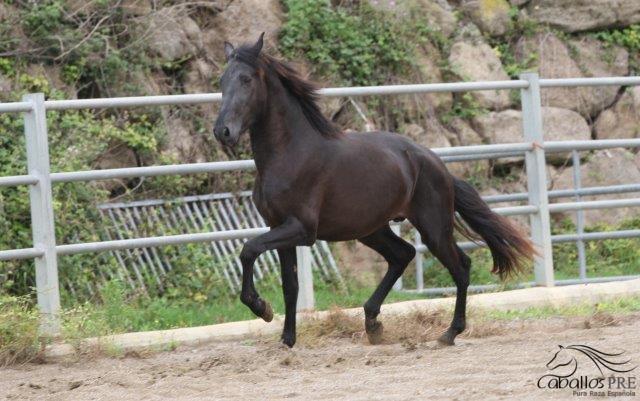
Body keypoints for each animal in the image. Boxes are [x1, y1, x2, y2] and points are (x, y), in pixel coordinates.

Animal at [212, 35, 532, 346]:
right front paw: (287, 340)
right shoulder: (277, 226)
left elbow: (248, 249)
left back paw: (449, 333)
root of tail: (436, 163)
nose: (222, 131)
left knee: (460, 267)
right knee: (403, 255)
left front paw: (260, 307)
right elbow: (290, 285)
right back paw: (373, 323)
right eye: (222, 81)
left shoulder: (301, 229)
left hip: (433, 227)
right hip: (371, 229)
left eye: (246, 79)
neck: (290, 153)